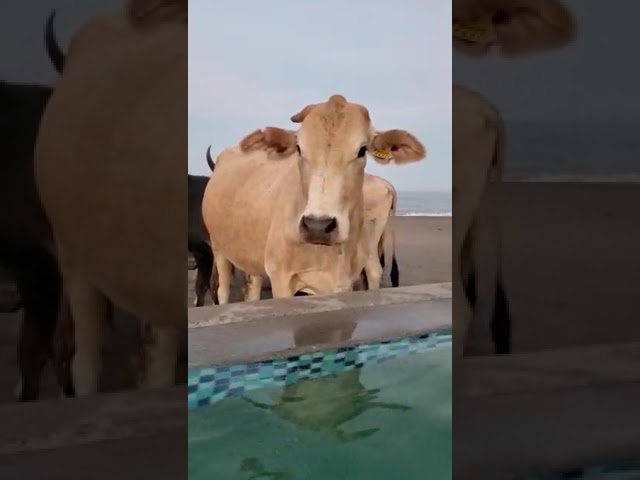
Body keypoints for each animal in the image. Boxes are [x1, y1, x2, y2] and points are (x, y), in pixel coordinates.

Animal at [202, 94, 426, 305]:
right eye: (299, 148)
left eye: (362, 150)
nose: (318, 225)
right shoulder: (281, 279)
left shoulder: (342, 283)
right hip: (219, 247)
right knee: (223, 291)